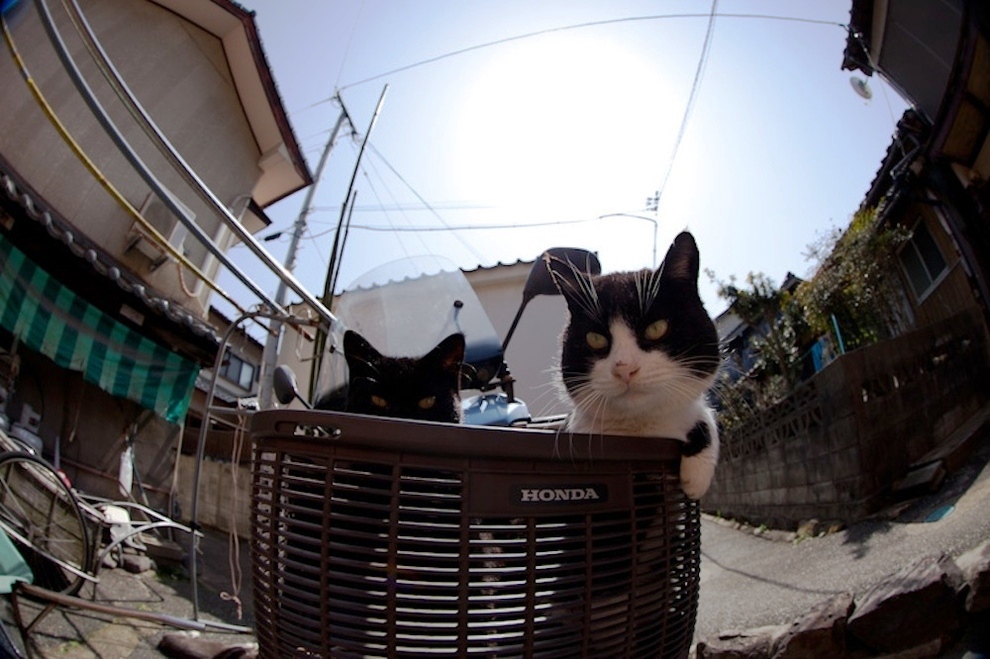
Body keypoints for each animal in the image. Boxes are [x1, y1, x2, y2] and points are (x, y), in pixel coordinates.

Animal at [552, 235, 720, 498]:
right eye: (595, 339)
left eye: (656, 328)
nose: (624, 368)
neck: (641, 430)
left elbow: (704, 415)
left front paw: (695, 480)